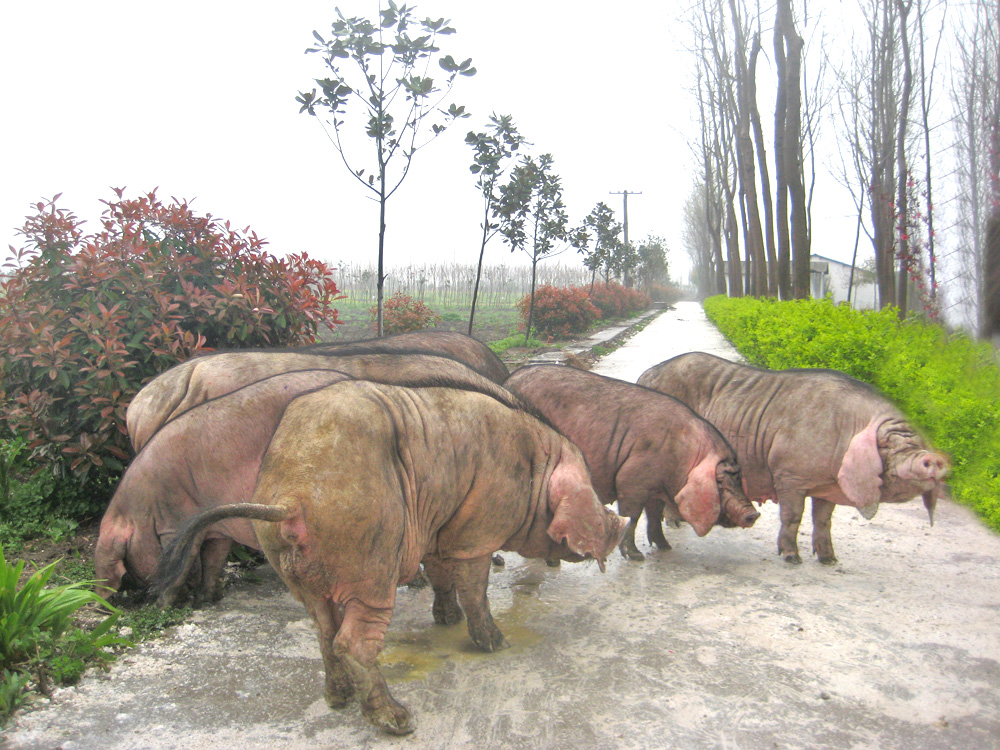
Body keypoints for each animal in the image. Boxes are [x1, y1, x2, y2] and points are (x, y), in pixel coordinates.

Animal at [152, 380, 627, 735]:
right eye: (592, 492)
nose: (620, 524)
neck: (536, 469)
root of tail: (290, 498)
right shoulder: (476, 531)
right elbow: (475, 589)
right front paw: (495, 643)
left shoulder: (437, 528)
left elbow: (441, 577)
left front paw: (446, 620)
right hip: (370, 561)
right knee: (353, 641)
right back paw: (398, 720)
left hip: (296, 569)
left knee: (324, 632)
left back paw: (337, 700)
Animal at [505, 364, 758, 561]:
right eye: (721, 481)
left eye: (738, 476)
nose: (753, 514)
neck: (683, 455)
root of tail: (509, 379)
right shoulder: (632, 479)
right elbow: (633, 516)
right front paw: (636, 556)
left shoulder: (657, 488)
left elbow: (654, 515)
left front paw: (665, 547)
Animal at [638, 352, 949, 564]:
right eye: (888, 444)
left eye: (916, 440)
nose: (932, 459)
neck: (845, 430)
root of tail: (646, 375)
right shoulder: (789, 474)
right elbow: (793, 515)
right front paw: (792, 557)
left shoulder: (828, 486)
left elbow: (823, 520)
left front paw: (829, 560)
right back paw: (673, 526)